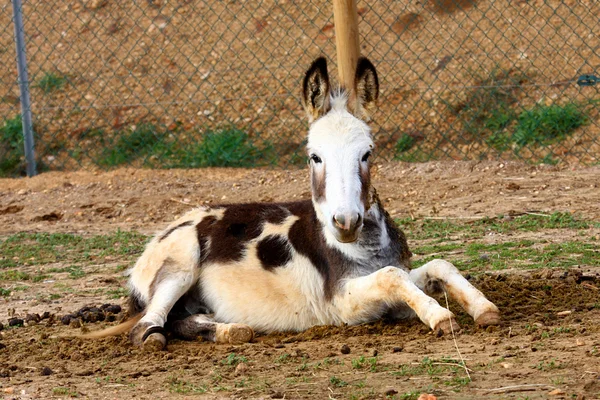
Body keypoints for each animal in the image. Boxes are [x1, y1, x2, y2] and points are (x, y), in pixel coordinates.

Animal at [90, 57, 502, 350]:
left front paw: (482, 308)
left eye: (367, 153)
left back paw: (231, 330)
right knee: (149, 326)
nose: (346, 222)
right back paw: (179, 335)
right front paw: (439, 316)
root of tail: (165, 230)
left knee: (180, 320)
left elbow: (438, 266)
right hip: (180, 264)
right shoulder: (342, 301)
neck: (363, 247)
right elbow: (394, 276)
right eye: (314, 157)